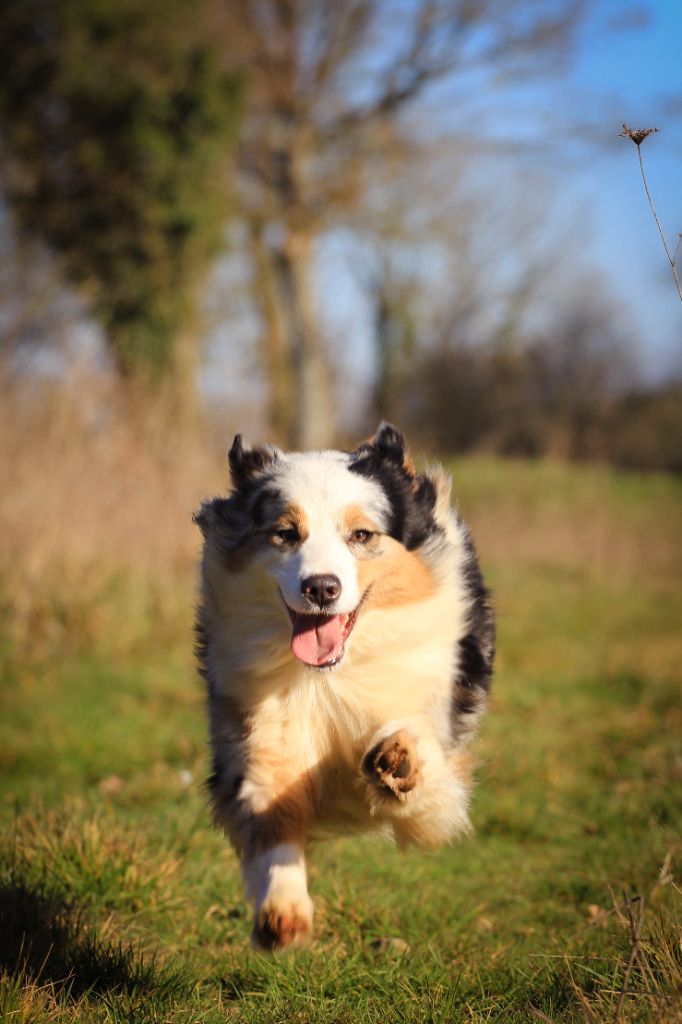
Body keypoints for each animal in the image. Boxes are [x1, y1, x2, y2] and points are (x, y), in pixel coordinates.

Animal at [193, 419, 491, 946]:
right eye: (286, 533)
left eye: (362, 534)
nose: (321, 587)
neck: (331, 677)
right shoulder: (260, 734)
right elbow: (273, 818)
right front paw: (283, 912)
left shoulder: (436, 767)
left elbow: (426, 776)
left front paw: (400, 760)